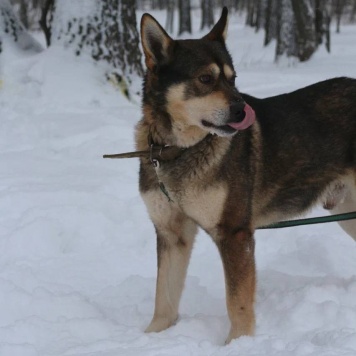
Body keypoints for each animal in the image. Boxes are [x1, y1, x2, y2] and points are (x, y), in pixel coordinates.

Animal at [135, 6, 356, 344]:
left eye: (233, 79)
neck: (178, 151)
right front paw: (151, 337)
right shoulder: (172, 234)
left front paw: (238, 342)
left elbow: (236, 301)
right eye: (205, 79)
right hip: (347, 213)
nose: (243, 111)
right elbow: (164, 298)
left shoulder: (234, 233)